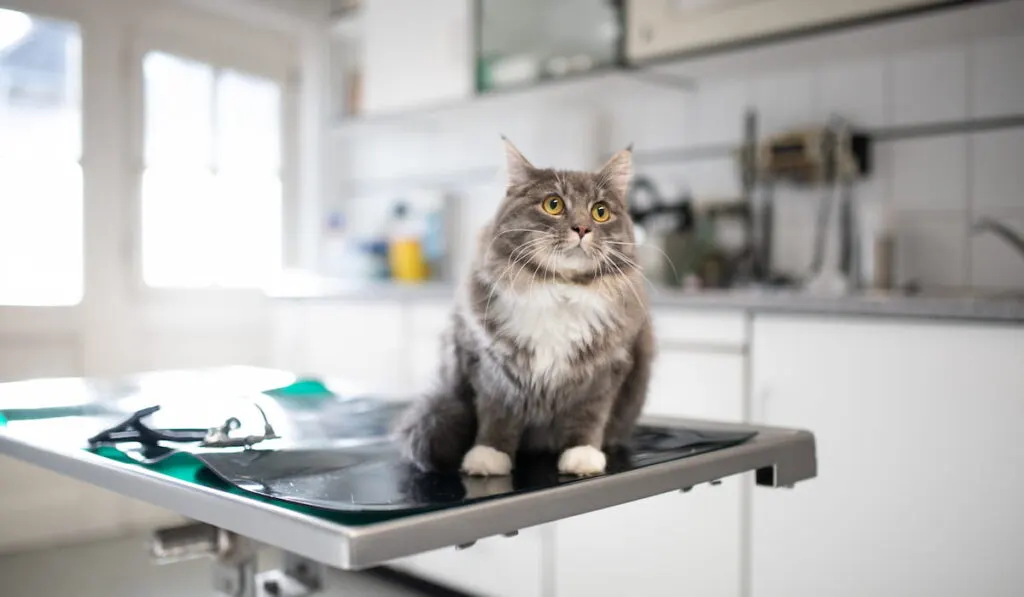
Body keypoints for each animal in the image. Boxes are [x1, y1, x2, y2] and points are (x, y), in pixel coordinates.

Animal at [393, 138, 655, 479]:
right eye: (553, 205)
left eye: (600, 212)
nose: (582, 228)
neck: (558, 289)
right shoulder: (491, 367)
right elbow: (497, 416)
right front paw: (488, 457)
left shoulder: (606, 370)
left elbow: (588, 417)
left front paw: (583, 457)